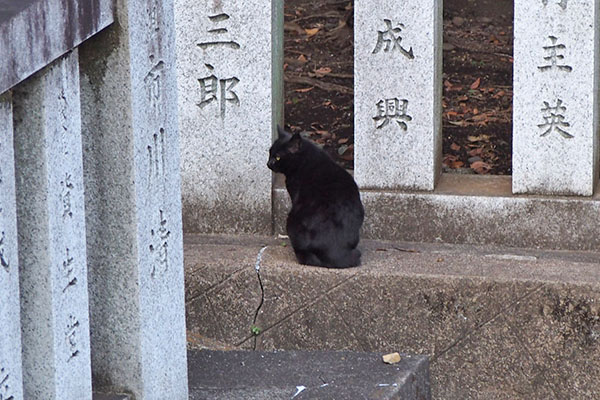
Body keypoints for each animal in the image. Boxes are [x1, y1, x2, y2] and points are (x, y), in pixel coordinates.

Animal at [268, 125, 366, 268]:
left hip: (292, 221)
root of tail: (334, 252)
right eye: (269, 153)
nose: (268, 163)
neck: (305, 160)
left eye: (278, 157)